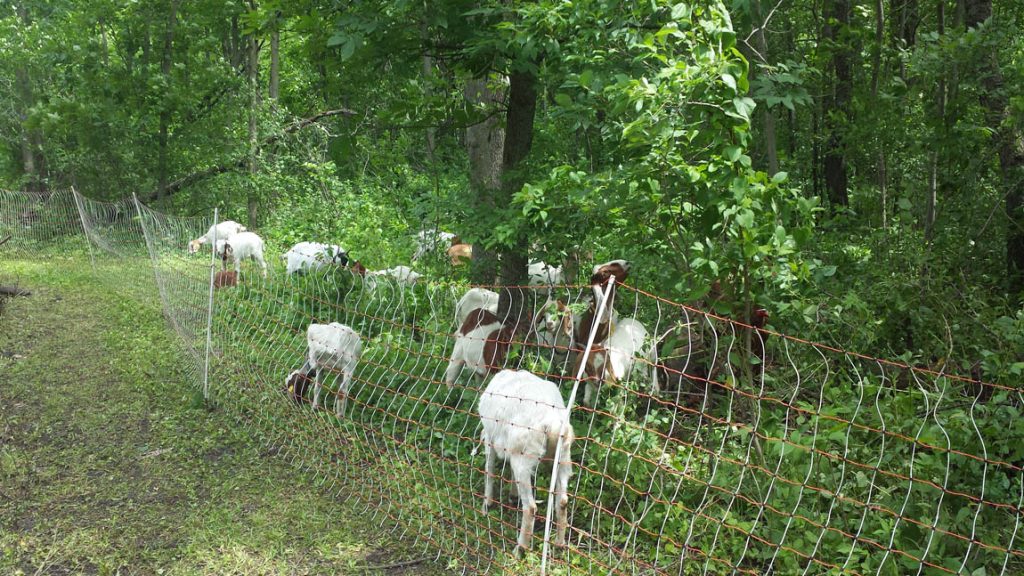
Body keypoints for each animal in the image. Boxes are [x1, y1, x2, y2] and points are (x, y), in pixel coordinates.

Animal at [479, 368, 577, 549]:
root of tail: (552, 425)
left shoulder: (490, 437)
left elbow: (489, 470)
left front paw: (486, 505)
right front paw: (512, 495)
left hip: (524, 458)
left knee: (530, 507)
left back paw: (520, 549)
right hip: (563, 457)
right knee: (562, 500)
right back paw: (559, 544)